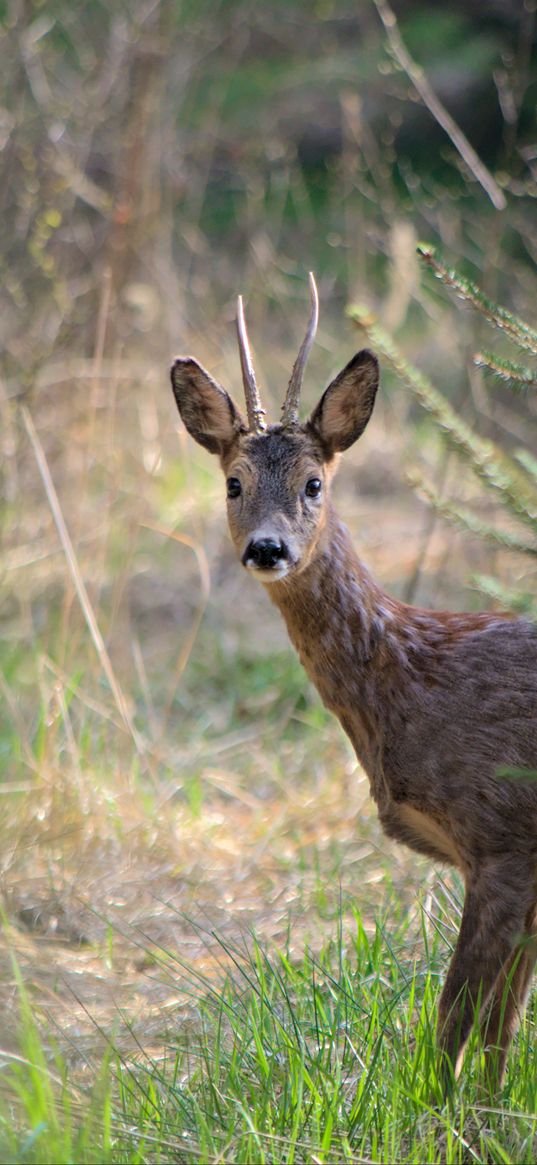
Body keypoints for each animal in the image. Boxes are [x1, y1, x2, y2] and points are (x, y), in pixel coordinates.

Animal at [170, 272, 535, 1090]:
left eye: (313, 482)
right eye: (233, 482)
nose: (267, 548)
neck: (410, 675)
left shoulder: (502, 836)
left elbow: (459, 1026)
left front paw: (450, 1115)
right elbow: (496, 1032)